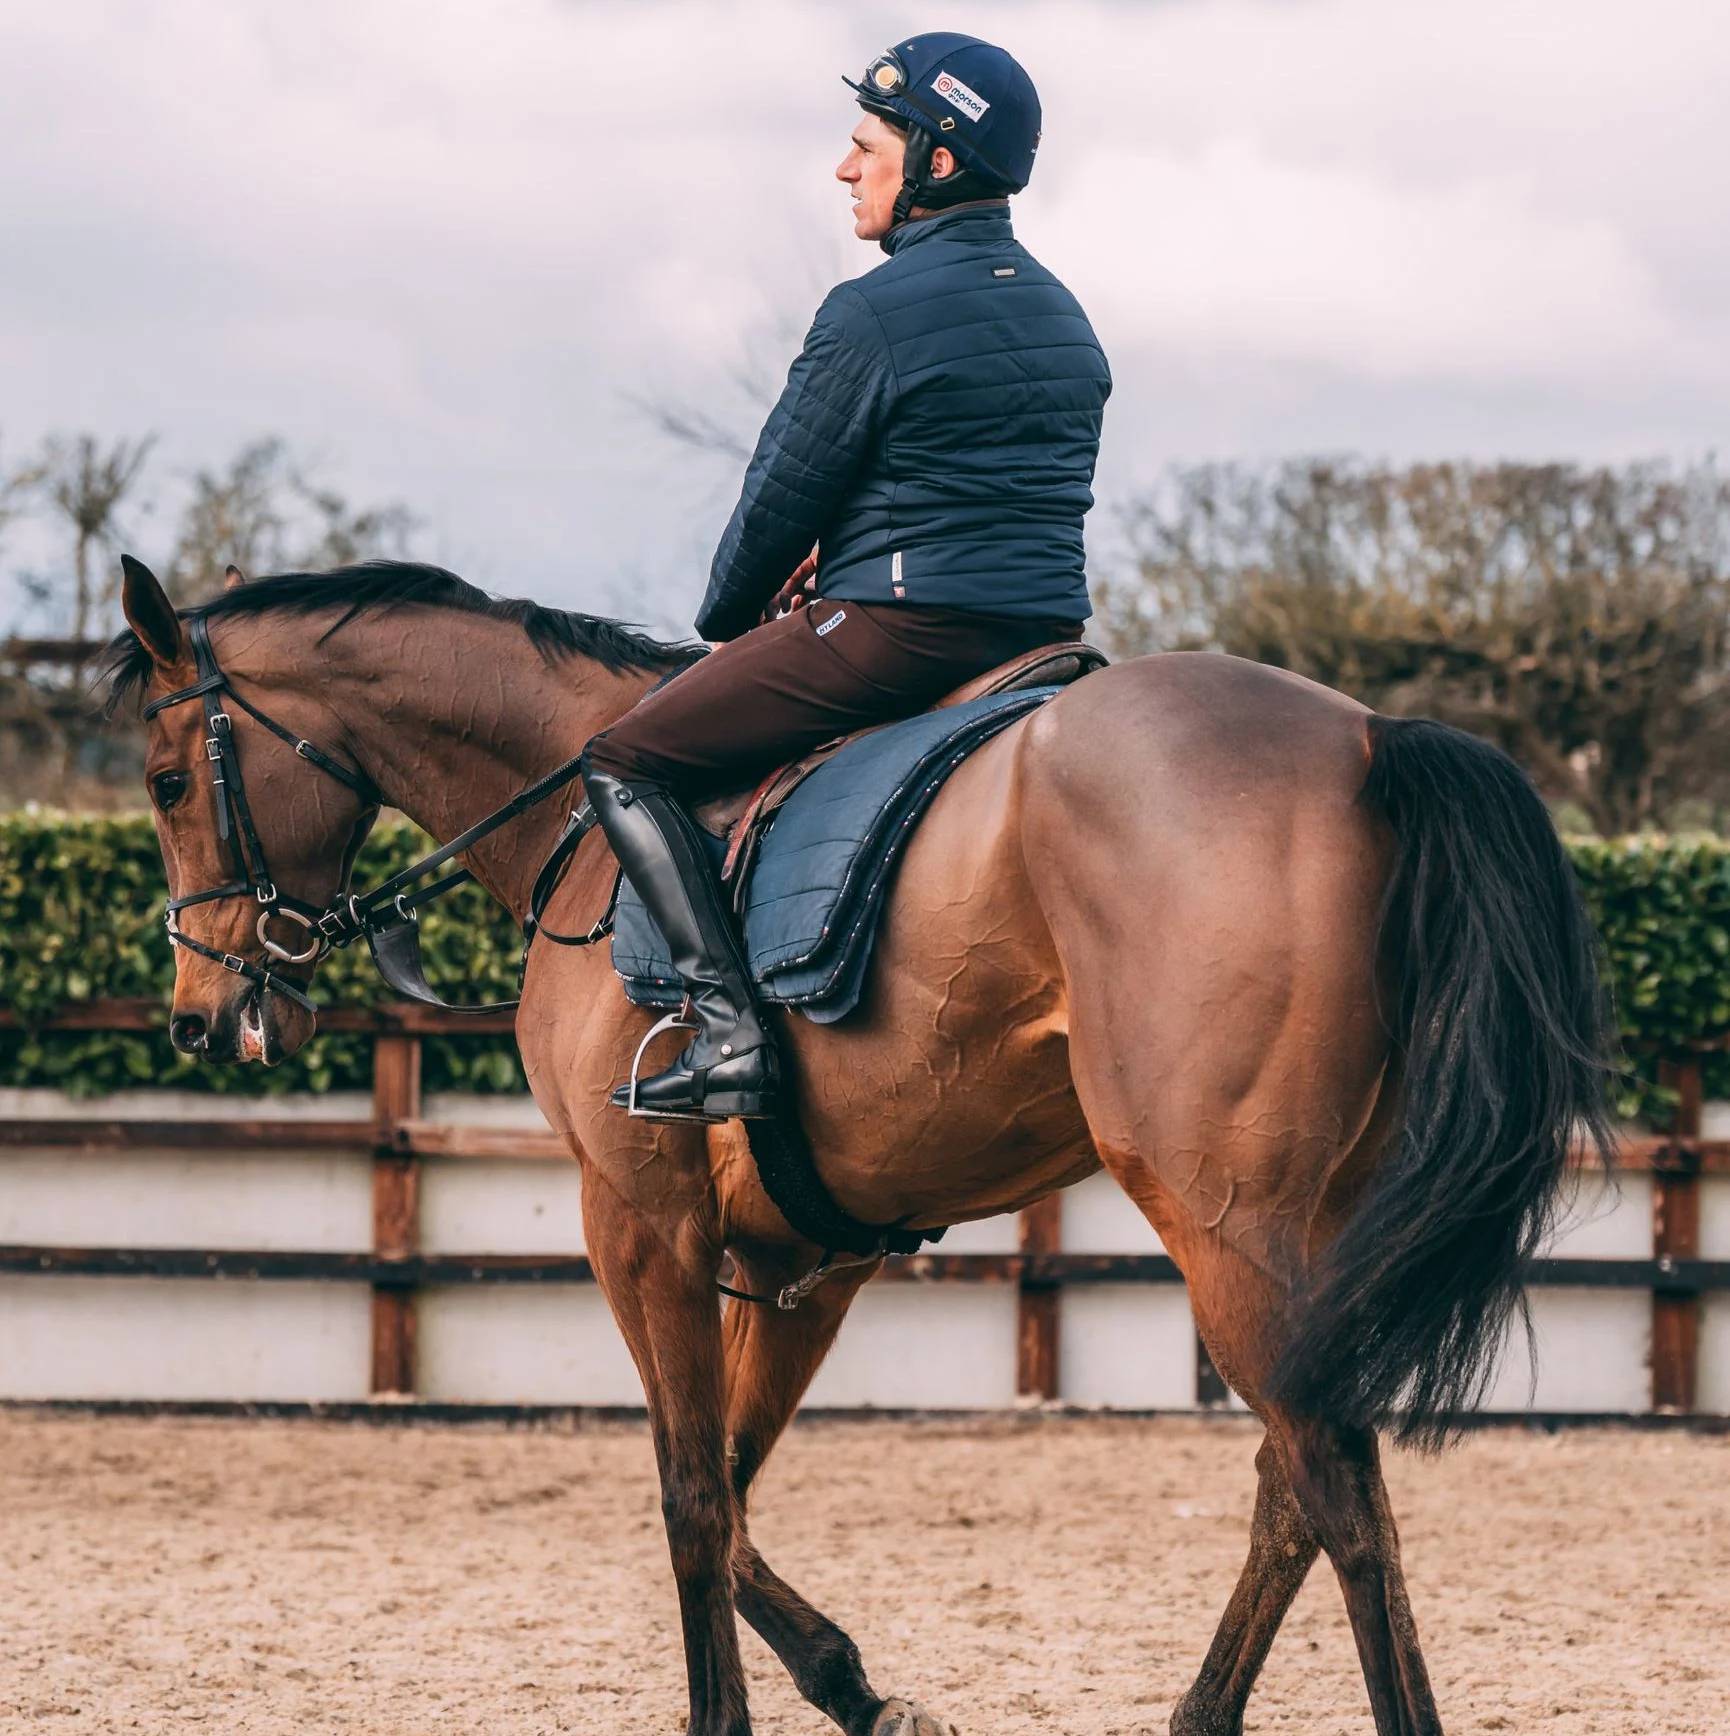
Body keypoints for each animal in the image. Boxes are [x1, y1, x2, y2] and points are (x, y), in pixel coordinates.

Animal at [108, 554, 1612, 1736]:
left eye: (169, 780)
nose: (196, 1013)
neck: (581, 828)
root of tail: (1364, 742)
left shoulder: (637, 1223)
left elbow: (689, 1497)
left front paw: (736, 1713)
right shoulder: (805, 1260)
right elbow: (731, 1482)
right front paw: (856, 1688)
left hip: (1227, 1219)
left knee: (1337, 1488)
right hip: (1309, 1234)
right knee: (1290, 1482)